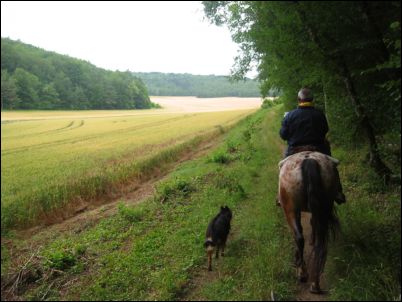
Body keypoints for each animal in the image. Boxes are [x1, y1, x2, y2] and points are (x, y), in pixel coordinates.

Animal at [278, 150, 340, 292]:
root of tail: (309, 160)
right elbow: (312, 223)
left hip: (290, 210)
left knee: (299, 237)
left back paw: (302, 273)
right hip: (325, 206)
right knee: (320, 240)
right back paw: (315, 283)